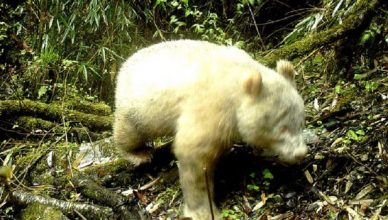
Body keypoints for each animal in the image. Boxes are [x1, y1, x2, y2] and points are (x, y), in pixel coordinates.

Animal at [113, 40, 308, 220]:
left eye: (300, 122)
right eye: (282, 128)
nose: (301, 153)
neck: (237, 80)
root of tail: (124, 65)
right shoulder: (212, 107)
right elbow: (194, 154)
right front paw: (203, 211)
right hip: (137, 106)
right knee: (129, 131)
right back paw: (139, 153)